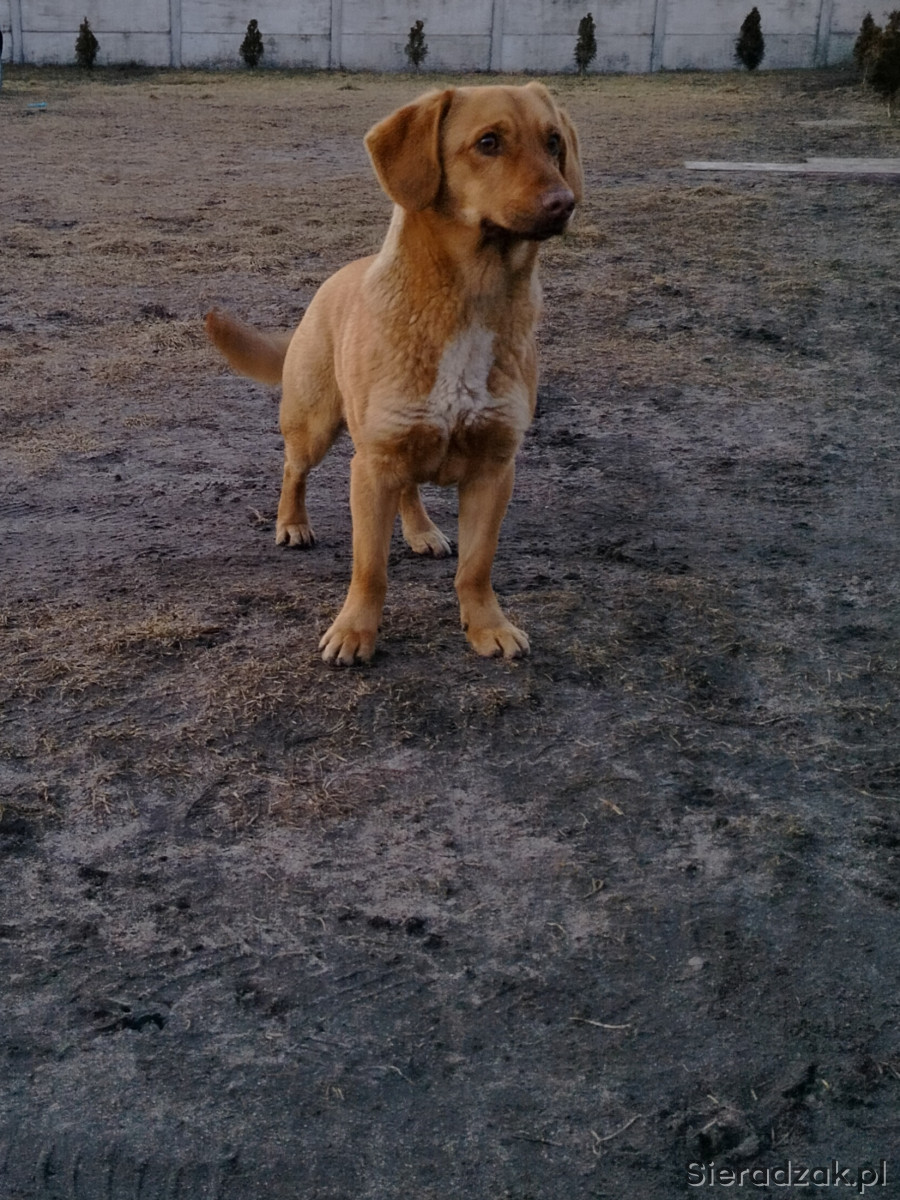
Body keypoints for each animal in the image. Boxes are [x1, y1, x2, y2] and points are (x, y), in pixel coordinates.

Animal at [206, 83, 582, 665]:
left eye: (554, 141)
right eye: (488, 142)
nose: (565, 203)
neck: (469, 301)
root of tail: (335, 278)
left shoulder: (494, 468)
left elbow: (477, 566)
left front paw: (486, 625)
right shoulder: (372, 468)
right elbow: (370, 568)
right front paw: (354, 632)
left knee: (410, 488)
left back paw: (421, 529)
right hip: (316, 425)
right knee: (294, 468)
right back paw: (292, 523)